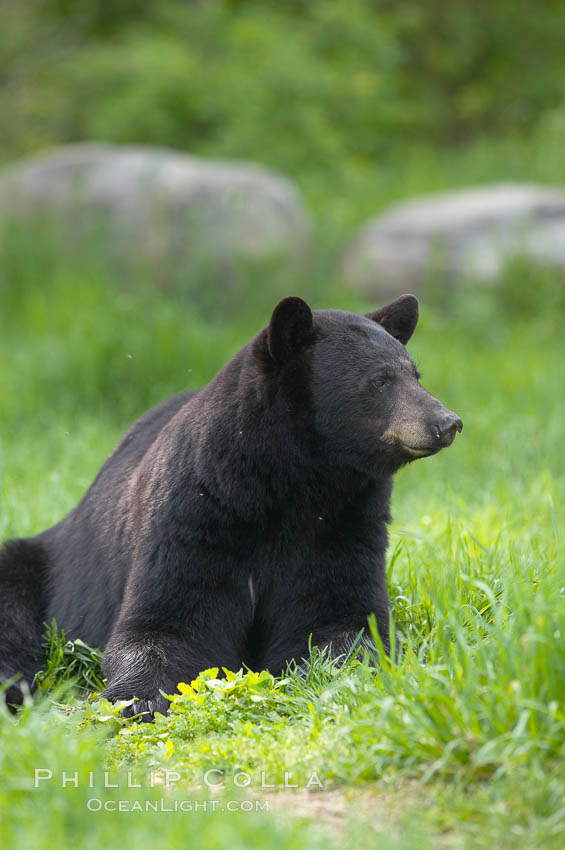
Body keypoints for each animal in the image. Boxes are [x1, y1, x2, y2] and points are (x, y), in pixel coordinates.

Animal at [0, 294, 458, 716]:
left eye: (416, 375)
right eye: (379, 380)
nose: (448, 422)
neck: (295, 483)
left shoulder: (345, 522)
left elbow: (340, 616)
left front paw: (332, 674)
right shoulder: (195, 514)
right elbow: (165, 620)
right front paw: (136, 699)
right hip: (40, 572)